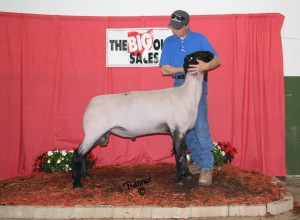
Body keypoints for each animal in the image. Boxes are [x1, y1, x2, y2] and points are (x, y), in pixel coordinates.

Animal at [71, 50, 214, 189]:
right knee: (78, 153)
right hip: (94, 131)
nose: (211, 53)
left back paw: (85, 175)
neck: (187, 95)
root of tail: (91, 104)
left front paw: (187, 174)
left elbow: (183, 153)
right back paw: (77, 183)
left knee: (84, 153)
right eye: (199, 53)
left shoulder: (183, 131)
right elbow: (179, 155)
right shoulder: (177, 129)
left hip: (100, 135)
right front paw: (179, 180)